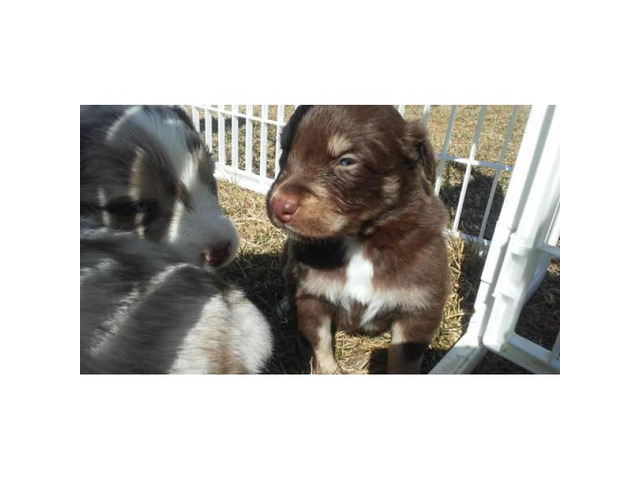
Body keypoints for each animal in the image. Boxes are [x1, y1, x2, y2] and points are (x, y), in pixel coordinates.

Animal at [264, 106, 450, 376]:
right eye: (285, 151)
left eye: (346, 161)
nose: (279, 205)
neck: (361, 239)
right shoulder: (311, 296)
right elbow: (319, 346)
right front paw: (328, 371)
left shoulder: (420, 307)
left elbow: (403, 362)